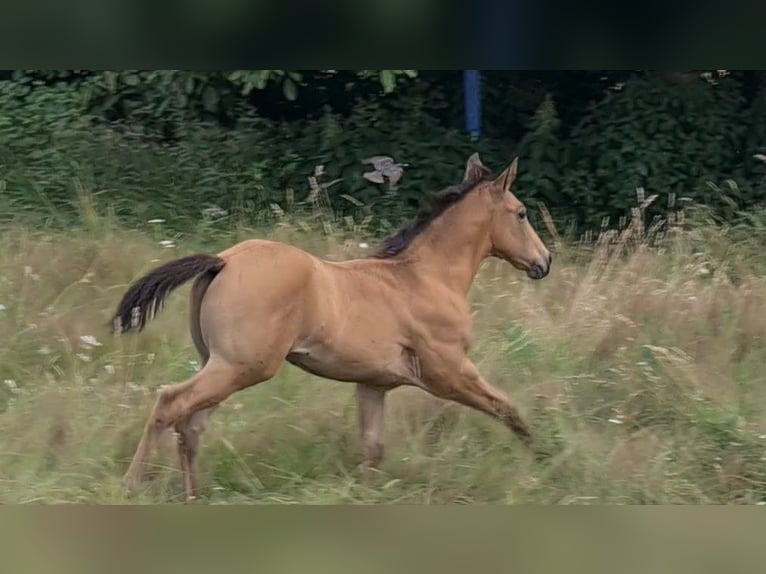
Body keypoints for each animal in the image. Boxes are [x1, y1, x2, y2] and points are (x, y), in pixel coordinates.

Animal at [111, 154, 556, 504]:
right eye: (521, 213)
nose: (544, 261)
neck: (425, 277)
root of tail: (223, 261)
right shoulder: (448, 372)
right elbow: (507, 409)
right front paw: (544, 462)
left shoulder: (373, 384)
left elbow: (372, 449)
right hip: (241, 366)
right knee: (170, 404)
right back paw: (130, 486)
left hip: (220, 365)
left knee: (191, 425)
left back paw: (192, 497)